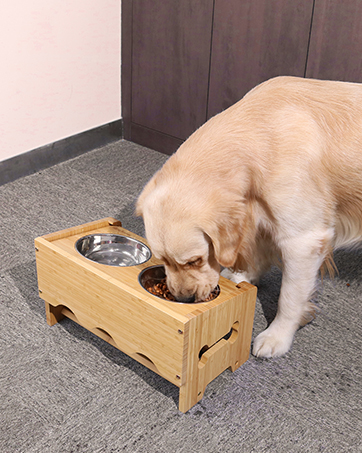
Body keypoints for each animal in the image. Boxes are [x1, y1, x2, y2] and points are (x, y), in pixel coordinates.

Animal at [136, 78, 362, 360]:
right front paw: (244, 278)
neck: (261, 133)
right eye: (162, 260)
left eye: (195, 260)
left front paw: (278, 336)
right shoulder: (259, 213)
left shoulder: (304, 241)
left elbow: (289, 296)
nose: (184, 299)